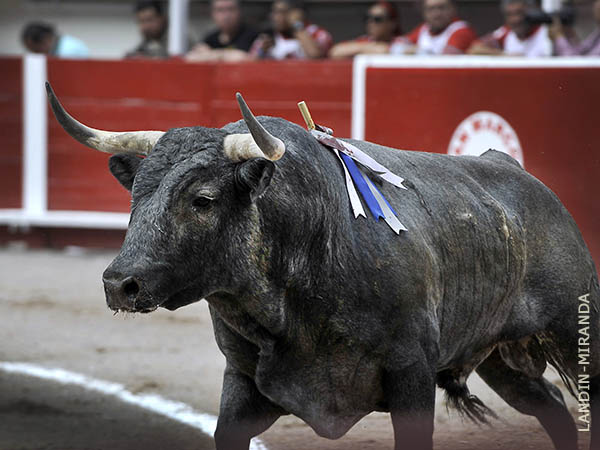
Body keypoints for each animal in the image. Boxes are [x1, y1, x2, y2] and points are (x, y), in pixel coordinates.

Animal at [47, 81, 600, 450]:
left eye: (202, 199)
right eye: (134, 197)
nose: (120, 283)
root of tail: (521, 174)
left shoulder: (412, 375)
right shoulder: (242, 382)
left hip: (573, 329)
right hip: (501, 358)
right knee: (553, 411)